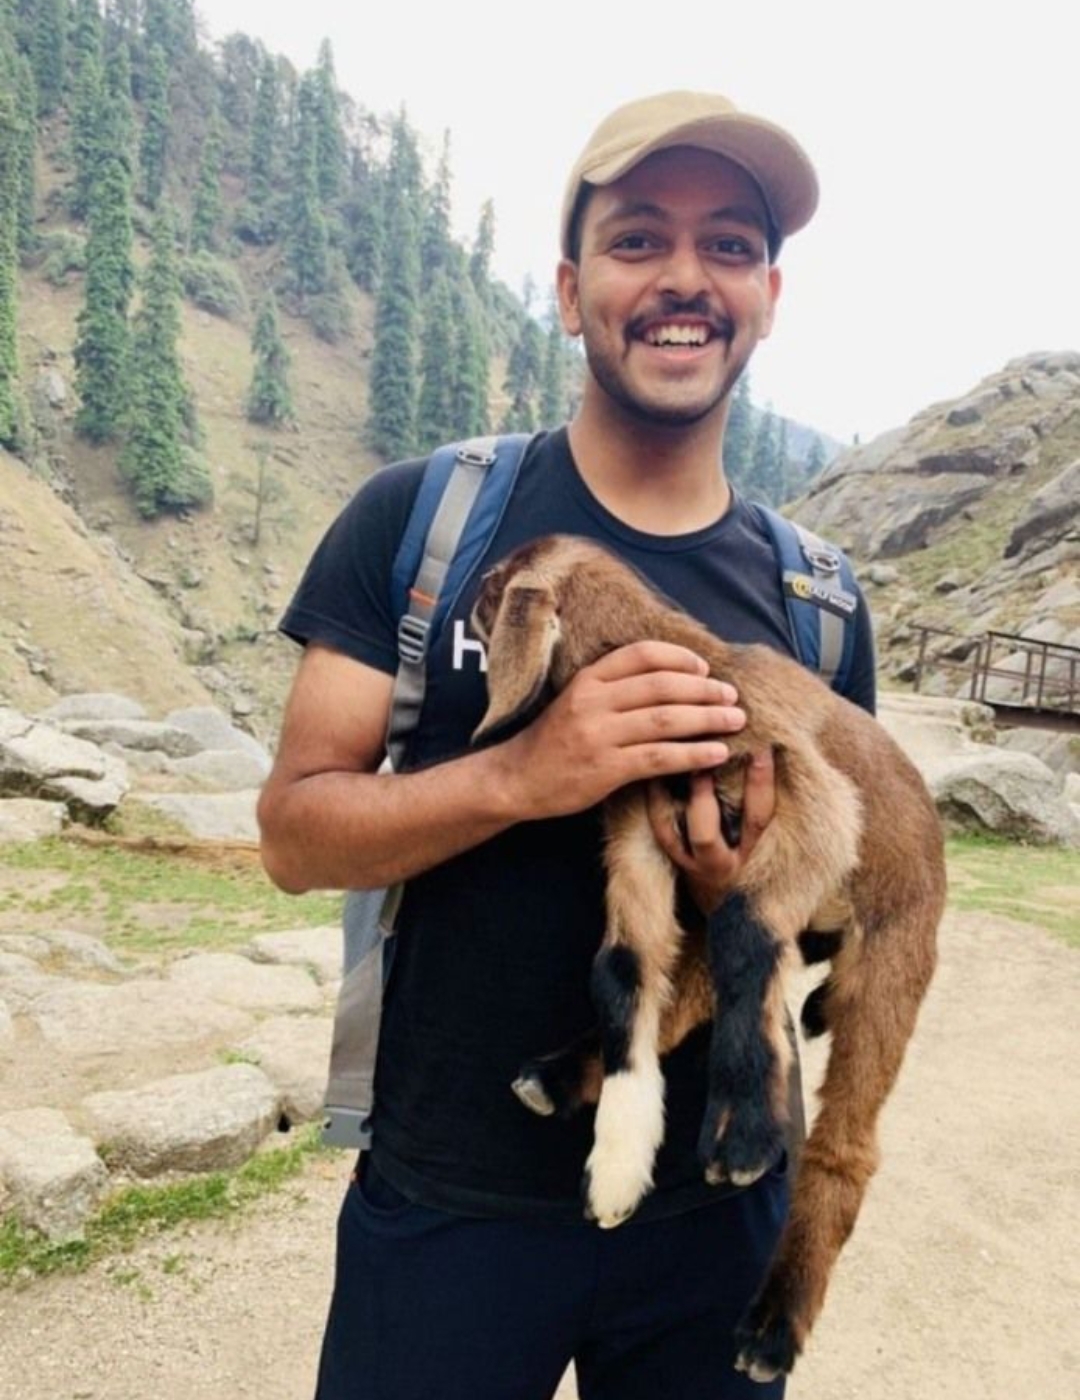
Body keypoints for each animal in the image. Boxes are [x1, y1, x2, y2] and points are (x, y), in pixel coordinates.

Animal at [470, 533, 944, 1383]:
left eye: (494, 587)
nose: (461, 609)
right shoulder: (638, 828)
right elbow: (622, 968)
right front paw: (619, 1161)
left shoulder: (810, 802)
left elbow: (744, 932)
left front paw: (744, 1136)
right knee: (693, 983)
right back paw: (560, 1075)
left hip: (893, 953)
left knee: (845, 1144)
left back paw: (774, 1323)